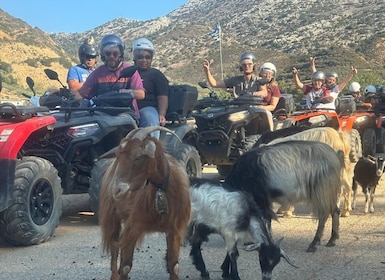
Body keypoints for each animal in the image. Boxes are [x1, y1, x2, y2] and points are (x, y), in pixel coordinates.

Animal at [97, 127, 190, 280]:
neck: (160, 188)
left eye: (138, 157)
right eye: (118, 156)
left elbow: (174, 266)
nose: (116, 190)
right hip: (112, 217)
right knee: (114, 246)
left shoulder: (175, 229)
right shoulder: (133, 227)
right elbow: (126, 266)